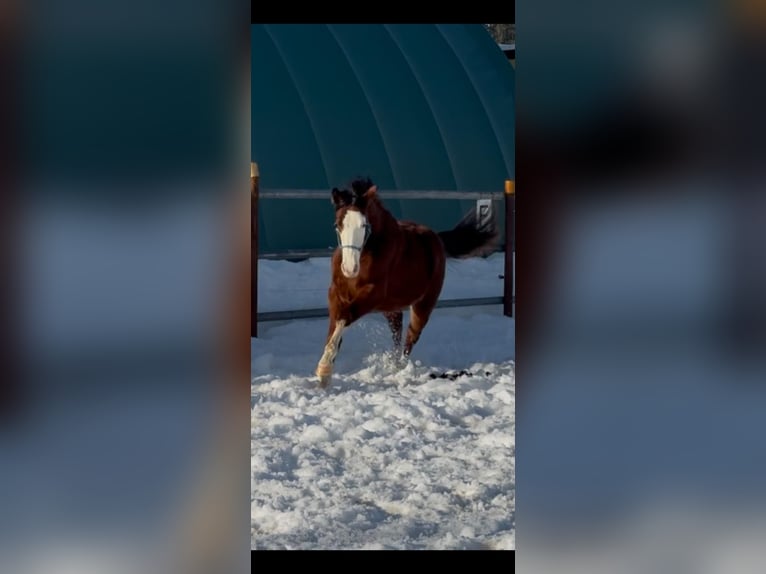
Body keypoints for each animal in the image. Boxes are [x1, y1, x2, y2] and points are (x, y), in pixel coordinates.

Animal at [315, 178, 498, 388]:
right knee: (397, 333)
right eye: (337, 225)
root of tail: (436, 238)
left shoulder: (371, 295)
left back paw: (402, 368)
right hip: (391, 308)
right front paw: (324, 376)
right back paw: (393, 365)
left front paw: (324, 369)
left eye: (364, 225)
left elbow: (344, 318)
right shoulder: (336, 293)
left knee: (411, 337)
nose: (349, 268)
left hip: (423, 305)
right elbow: (335, 326)